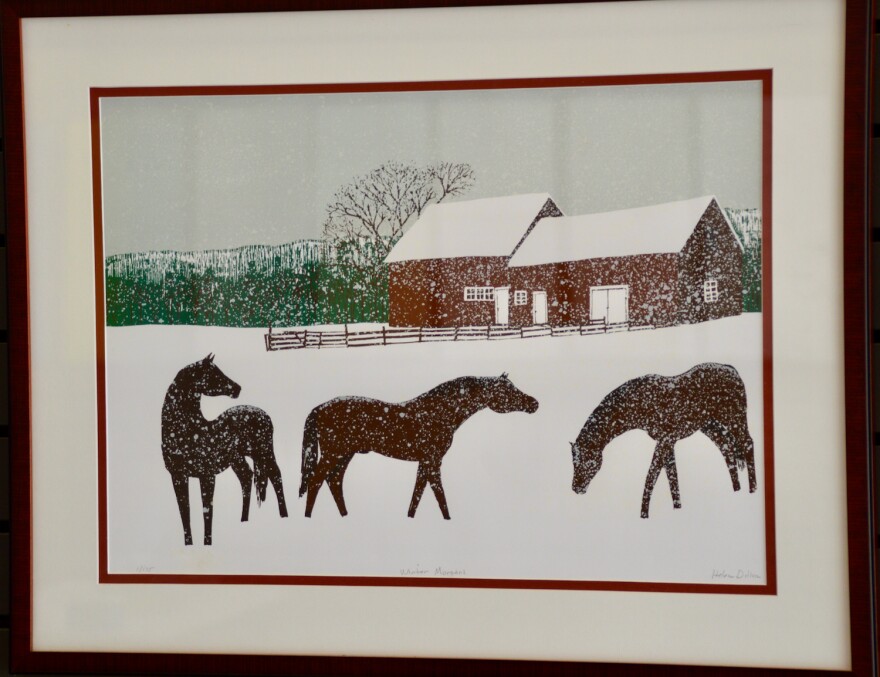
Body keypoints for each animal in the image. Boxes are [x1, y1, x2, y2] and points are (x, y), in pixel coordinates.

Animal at [162, 354, 288, 544]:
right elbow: (185, 513)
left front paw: (207, 543)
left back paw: (284, 517)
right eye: (213, 374)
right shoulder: (177, 476)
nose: (237, 388)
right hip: (238, 459)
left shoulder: (207, 476)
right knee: (247, 477)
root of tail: (264, 414)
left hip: (264, 453)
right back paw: (244, 521)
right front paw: (189, 544)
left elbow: (207, 512)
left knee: (276, 476)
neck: (189, 431)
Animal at [300, 372, 540, 520]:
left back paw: (345, 517)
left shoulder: (426, 461)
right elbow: (437, 494)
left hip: (345, 454)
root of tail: (319, 408)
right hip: (334, 453)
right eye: (507, 391)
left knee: (334, 481)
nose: (534, 403)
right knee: (316, 481)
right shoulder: (433, 460)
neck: (440, 413)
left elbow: (418, 493)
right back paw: (308, 518)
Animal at [572, 364, 756, 516]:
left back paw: (752, 490)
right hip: (710, 426)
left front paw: (644, 514)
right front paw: (677, 508)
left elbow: (651, 476)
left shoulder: (665, 440)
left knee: (747, 443)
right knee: (727, 449)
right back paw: (736, 490)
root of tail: (732, 369)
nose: (575, 488)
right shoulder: (668, 441)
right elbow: (672, 476)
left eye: (587, 462)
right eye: (574, 463)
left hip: (734, 419)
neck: (640, 402)